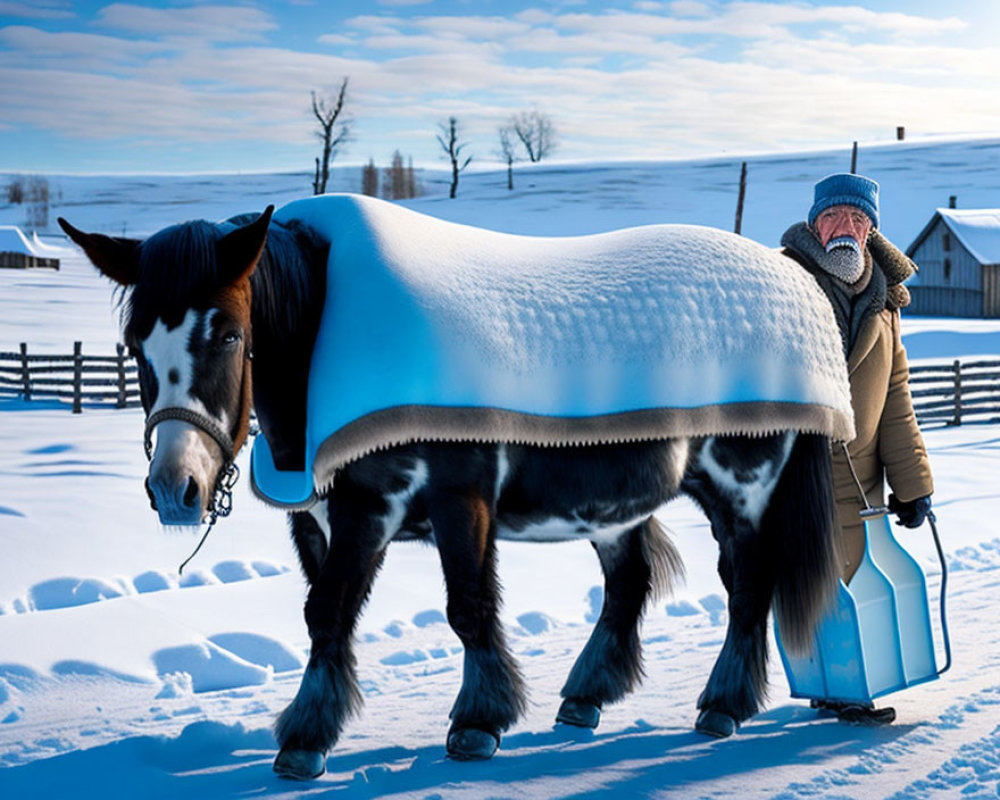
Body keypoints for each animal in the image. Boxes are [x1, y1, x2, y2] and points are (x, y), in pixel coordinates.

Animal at [58, 200, 844, 780]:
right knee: (631, 584)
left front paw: (477, 721)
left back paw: (725, 704)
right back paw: (586, 696)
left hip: (741, 489)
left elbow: (464, 607)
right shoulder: (324, 522)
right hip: (614, 507)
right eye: (134, 342)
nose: (175, 487)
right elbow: (325, 616)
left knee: (747, 586)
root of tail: (797, 284)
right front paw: (309, 731)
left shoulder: (445, 504)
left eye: (225, 333)